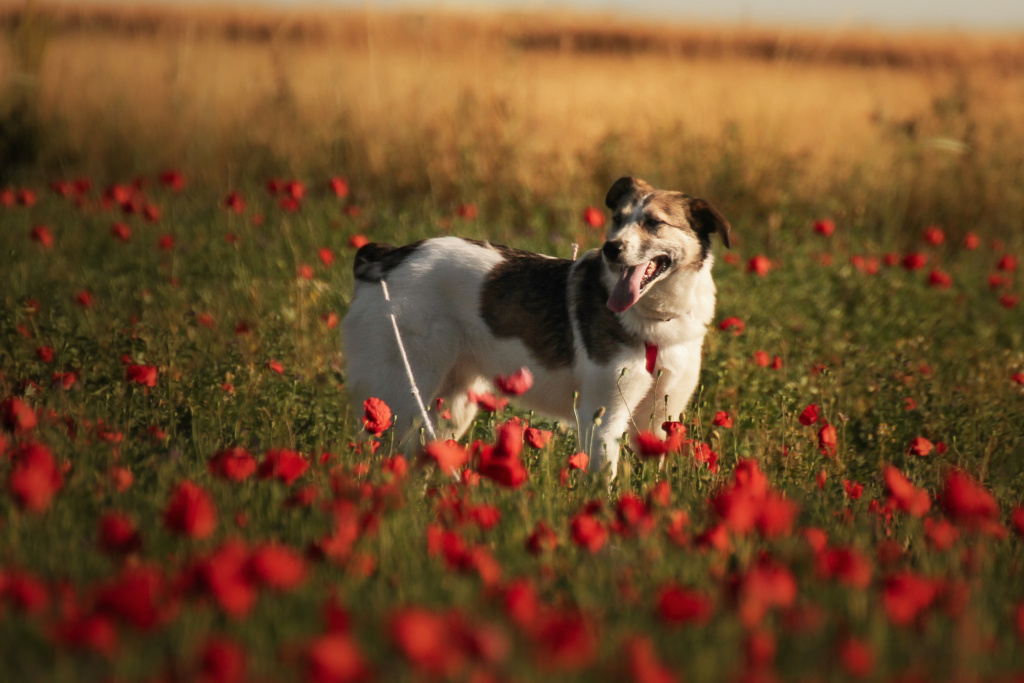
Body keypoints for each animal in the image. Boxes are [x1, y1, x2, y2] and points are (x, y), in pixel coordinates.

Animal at [344, 175, 729, 475]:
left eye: (653, 223)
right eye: (618, 220)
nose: (610, 248)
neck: (654, 320)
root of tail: (387, 258)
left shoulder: (659, 422)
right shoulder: (602, 420)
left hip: (453, 405)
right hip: (401, 396)